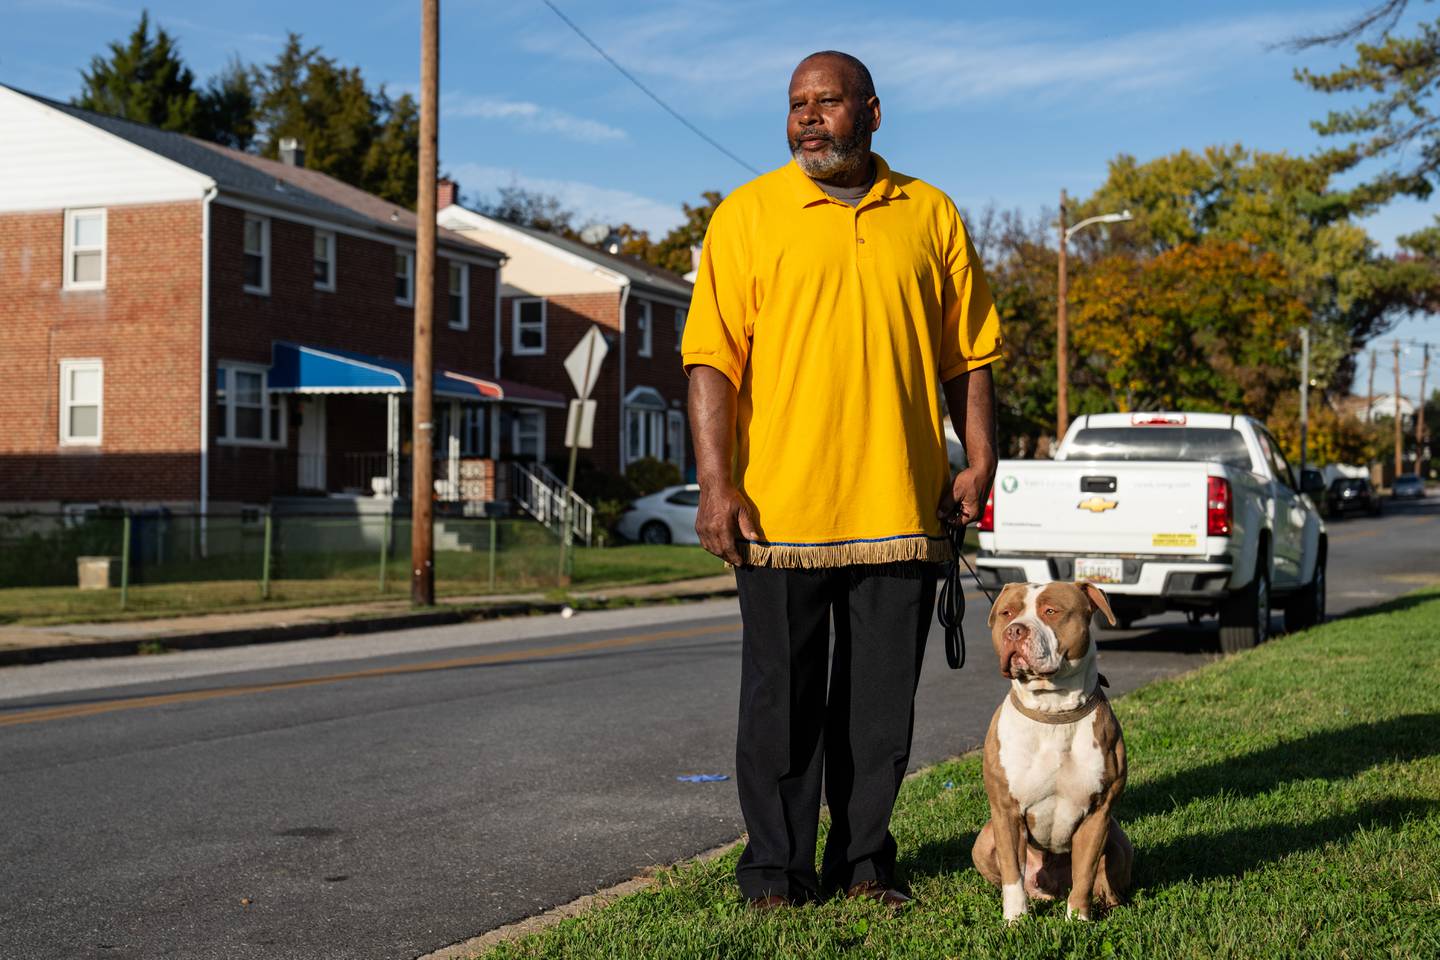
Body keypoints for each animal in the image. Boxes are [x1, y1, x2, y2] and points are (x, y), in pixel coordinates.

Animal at [973, 581, 1128, 921]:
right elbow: (1012, 874)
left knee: (1103, 877)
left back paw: (1109, 901)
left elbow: (1085, 872)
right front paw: (1015, 919)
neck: (1053, 711)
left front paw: (1078, 920)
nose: (1015, 631)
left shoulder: (1098, 813)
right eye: (1007, 613)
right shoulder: (1005, 812)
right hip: (983, 840)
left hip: (1119, 839)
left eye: (1051, 611)